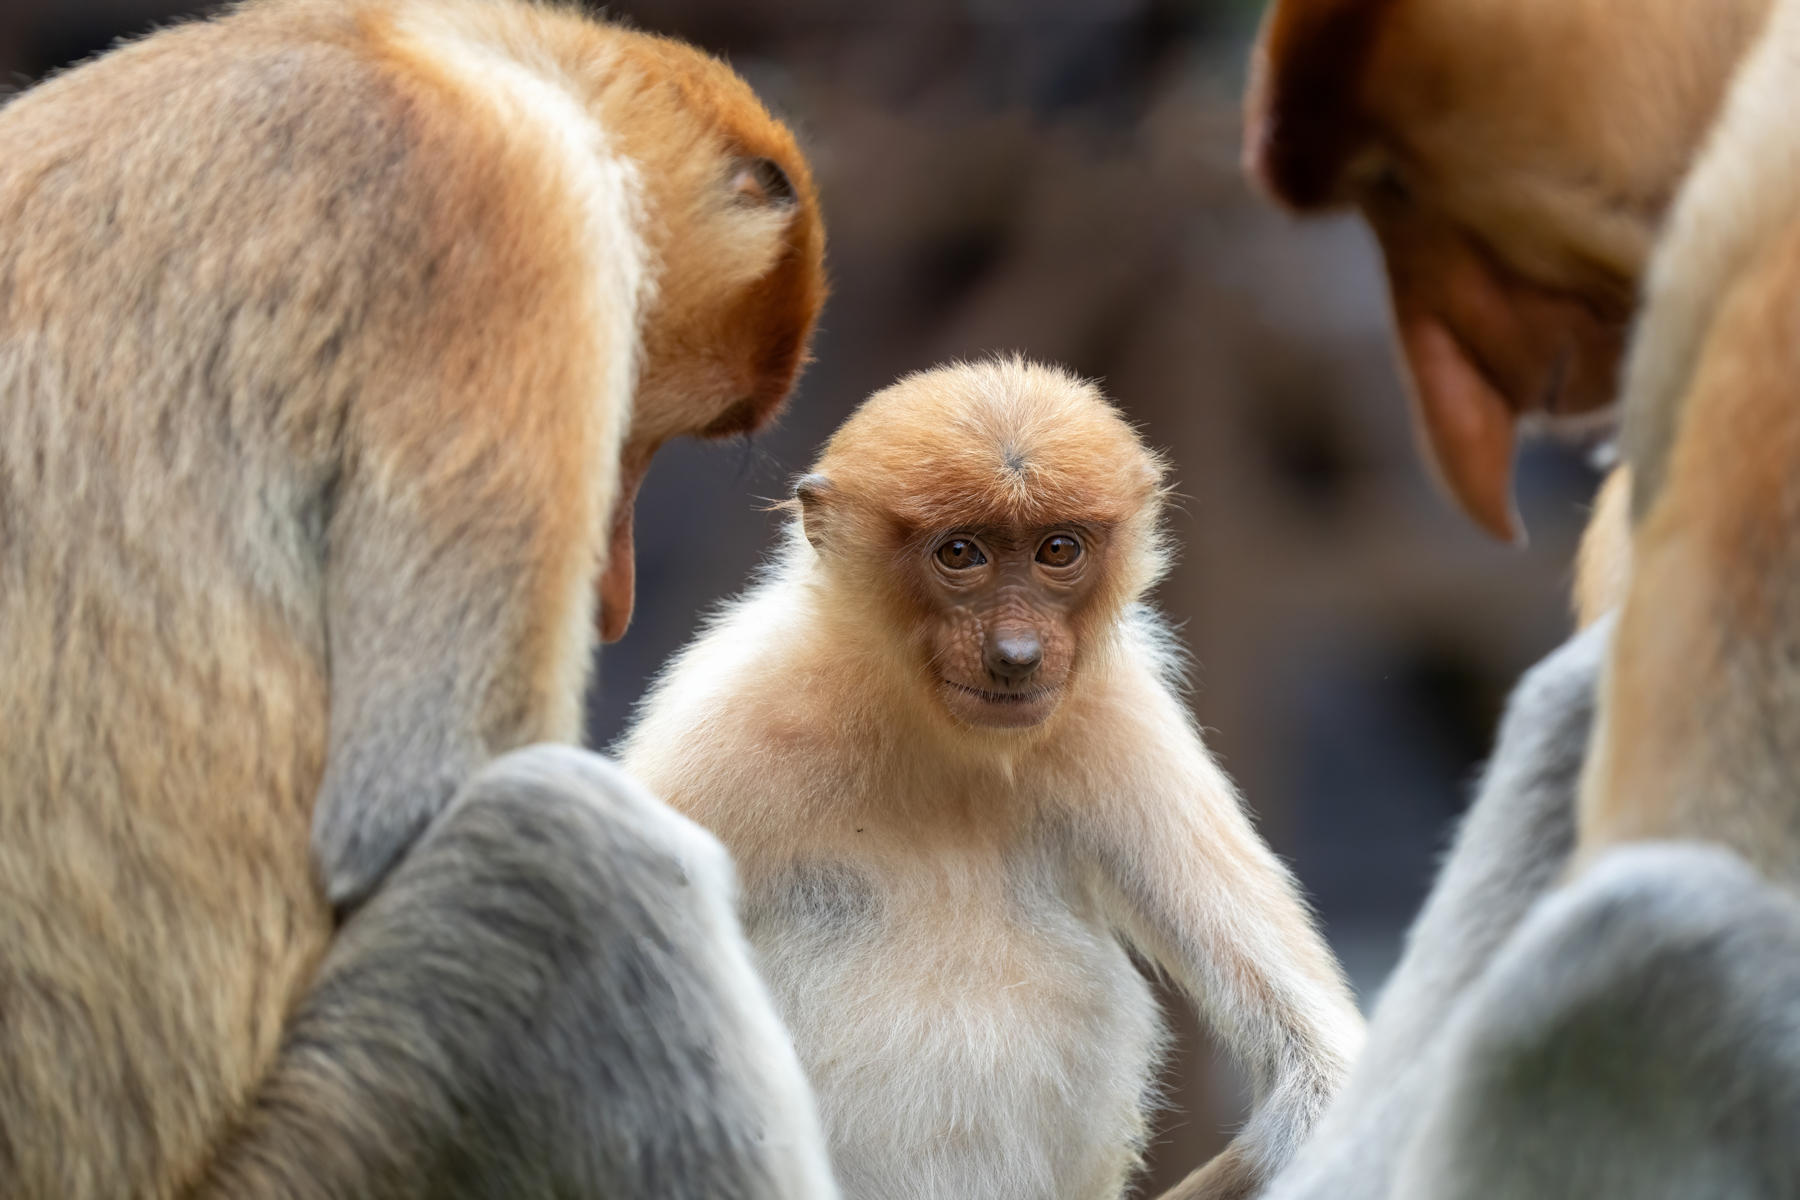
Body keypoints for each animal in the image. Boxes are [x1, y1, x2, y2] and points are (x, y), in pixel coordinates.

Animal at [0, 0, 837, 1196]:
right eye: (636, 436)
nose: (614, 600)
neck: (396, 40)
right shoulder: (516, 210)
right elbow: (407, 806)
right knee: (574, 858)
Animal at [617, 357, 1367, 1200]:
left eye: (1057, 549)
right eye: (961, 554)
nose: (1015, 656)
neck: (926, 731)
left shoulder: (1119, 721)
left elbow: (1319, 1068)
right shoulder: (729, 726)